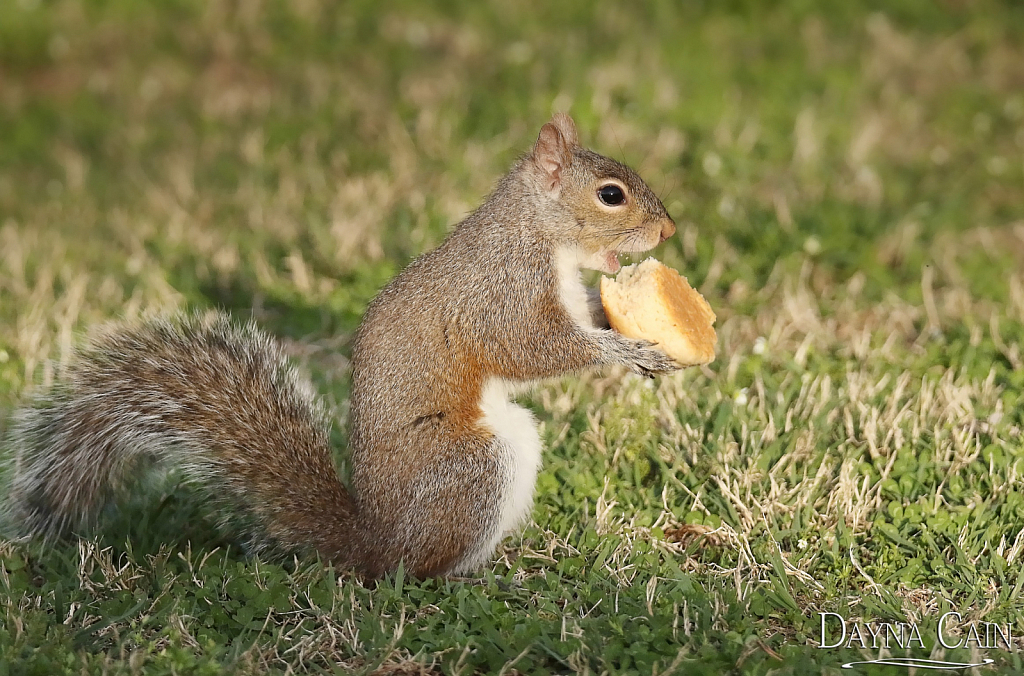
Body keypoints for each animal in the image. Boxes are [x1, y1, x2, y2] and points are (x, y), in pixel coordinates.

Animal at [4, 113, 684, 577]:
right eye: (610, 194)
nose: (670, 230)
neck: (537, 231)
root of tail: (372, 543)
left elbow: (586, 315)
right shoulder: (502, 292)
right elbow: (532, 350)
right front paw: (628, 353)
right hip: (474, 466)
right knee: (418, 571)